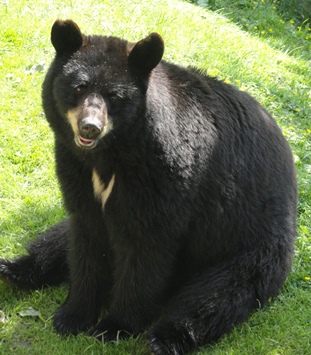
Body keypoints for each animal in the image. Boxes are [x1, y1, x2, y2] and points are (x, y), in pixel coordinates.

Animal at [0, 20, 298, 355]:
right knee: (58, 238)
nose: (90, 127)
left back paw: (164, 338)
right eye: (79, 86)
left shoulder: (165, 173)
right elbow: (85, 237)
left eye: (115, 95)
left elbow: (146, 248)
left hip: (249, 243)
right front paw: (72, 316)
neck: (111, 155)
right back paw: (15, 270)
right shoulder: (75, 170)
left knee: (217, 295)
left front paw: (113, 326)